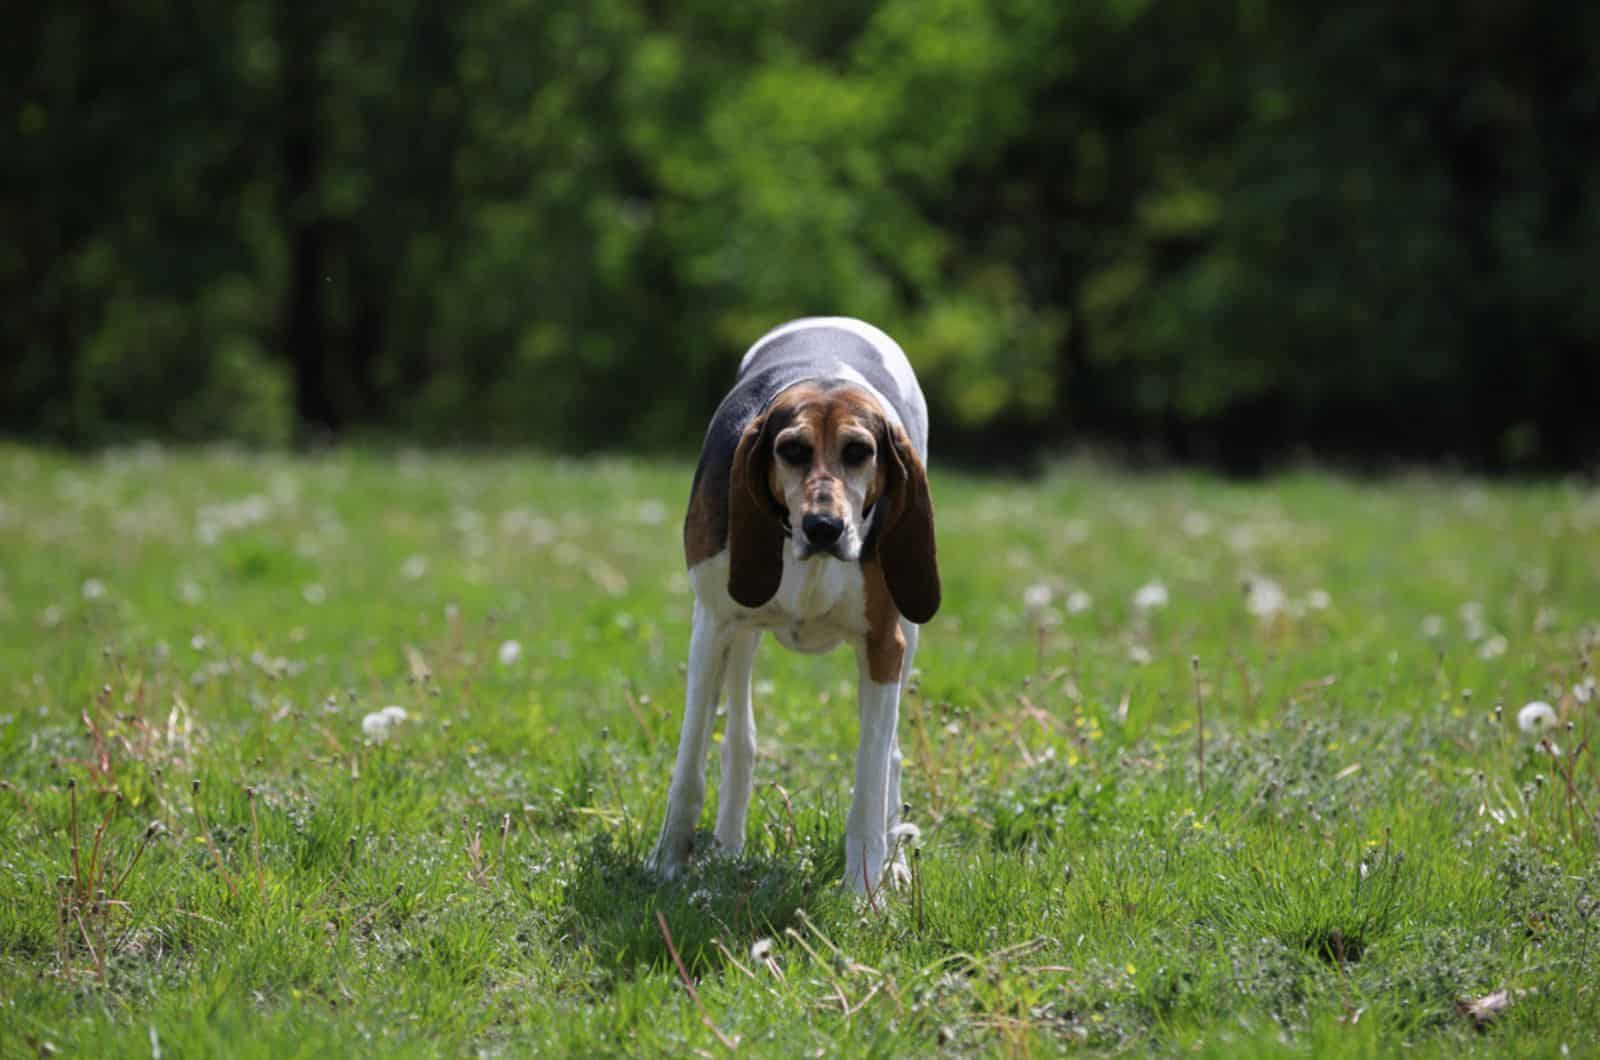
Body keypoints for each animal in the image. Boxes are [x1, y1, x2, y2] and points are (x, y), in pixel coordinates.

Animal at [643, 317, 934, 896]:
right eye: (791, 450)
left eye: (860, 451)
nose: (824, 527)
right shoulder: (712, 625)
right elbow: (689, 764)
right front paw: (668, 864)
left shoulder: (883, 645)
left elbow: (870, 781)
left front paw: (864, 891)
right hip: (738, 629)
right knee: (738, 737)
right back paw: (729, 845)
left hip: (908, 633)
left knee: (891, 757)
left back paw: (894, 862)